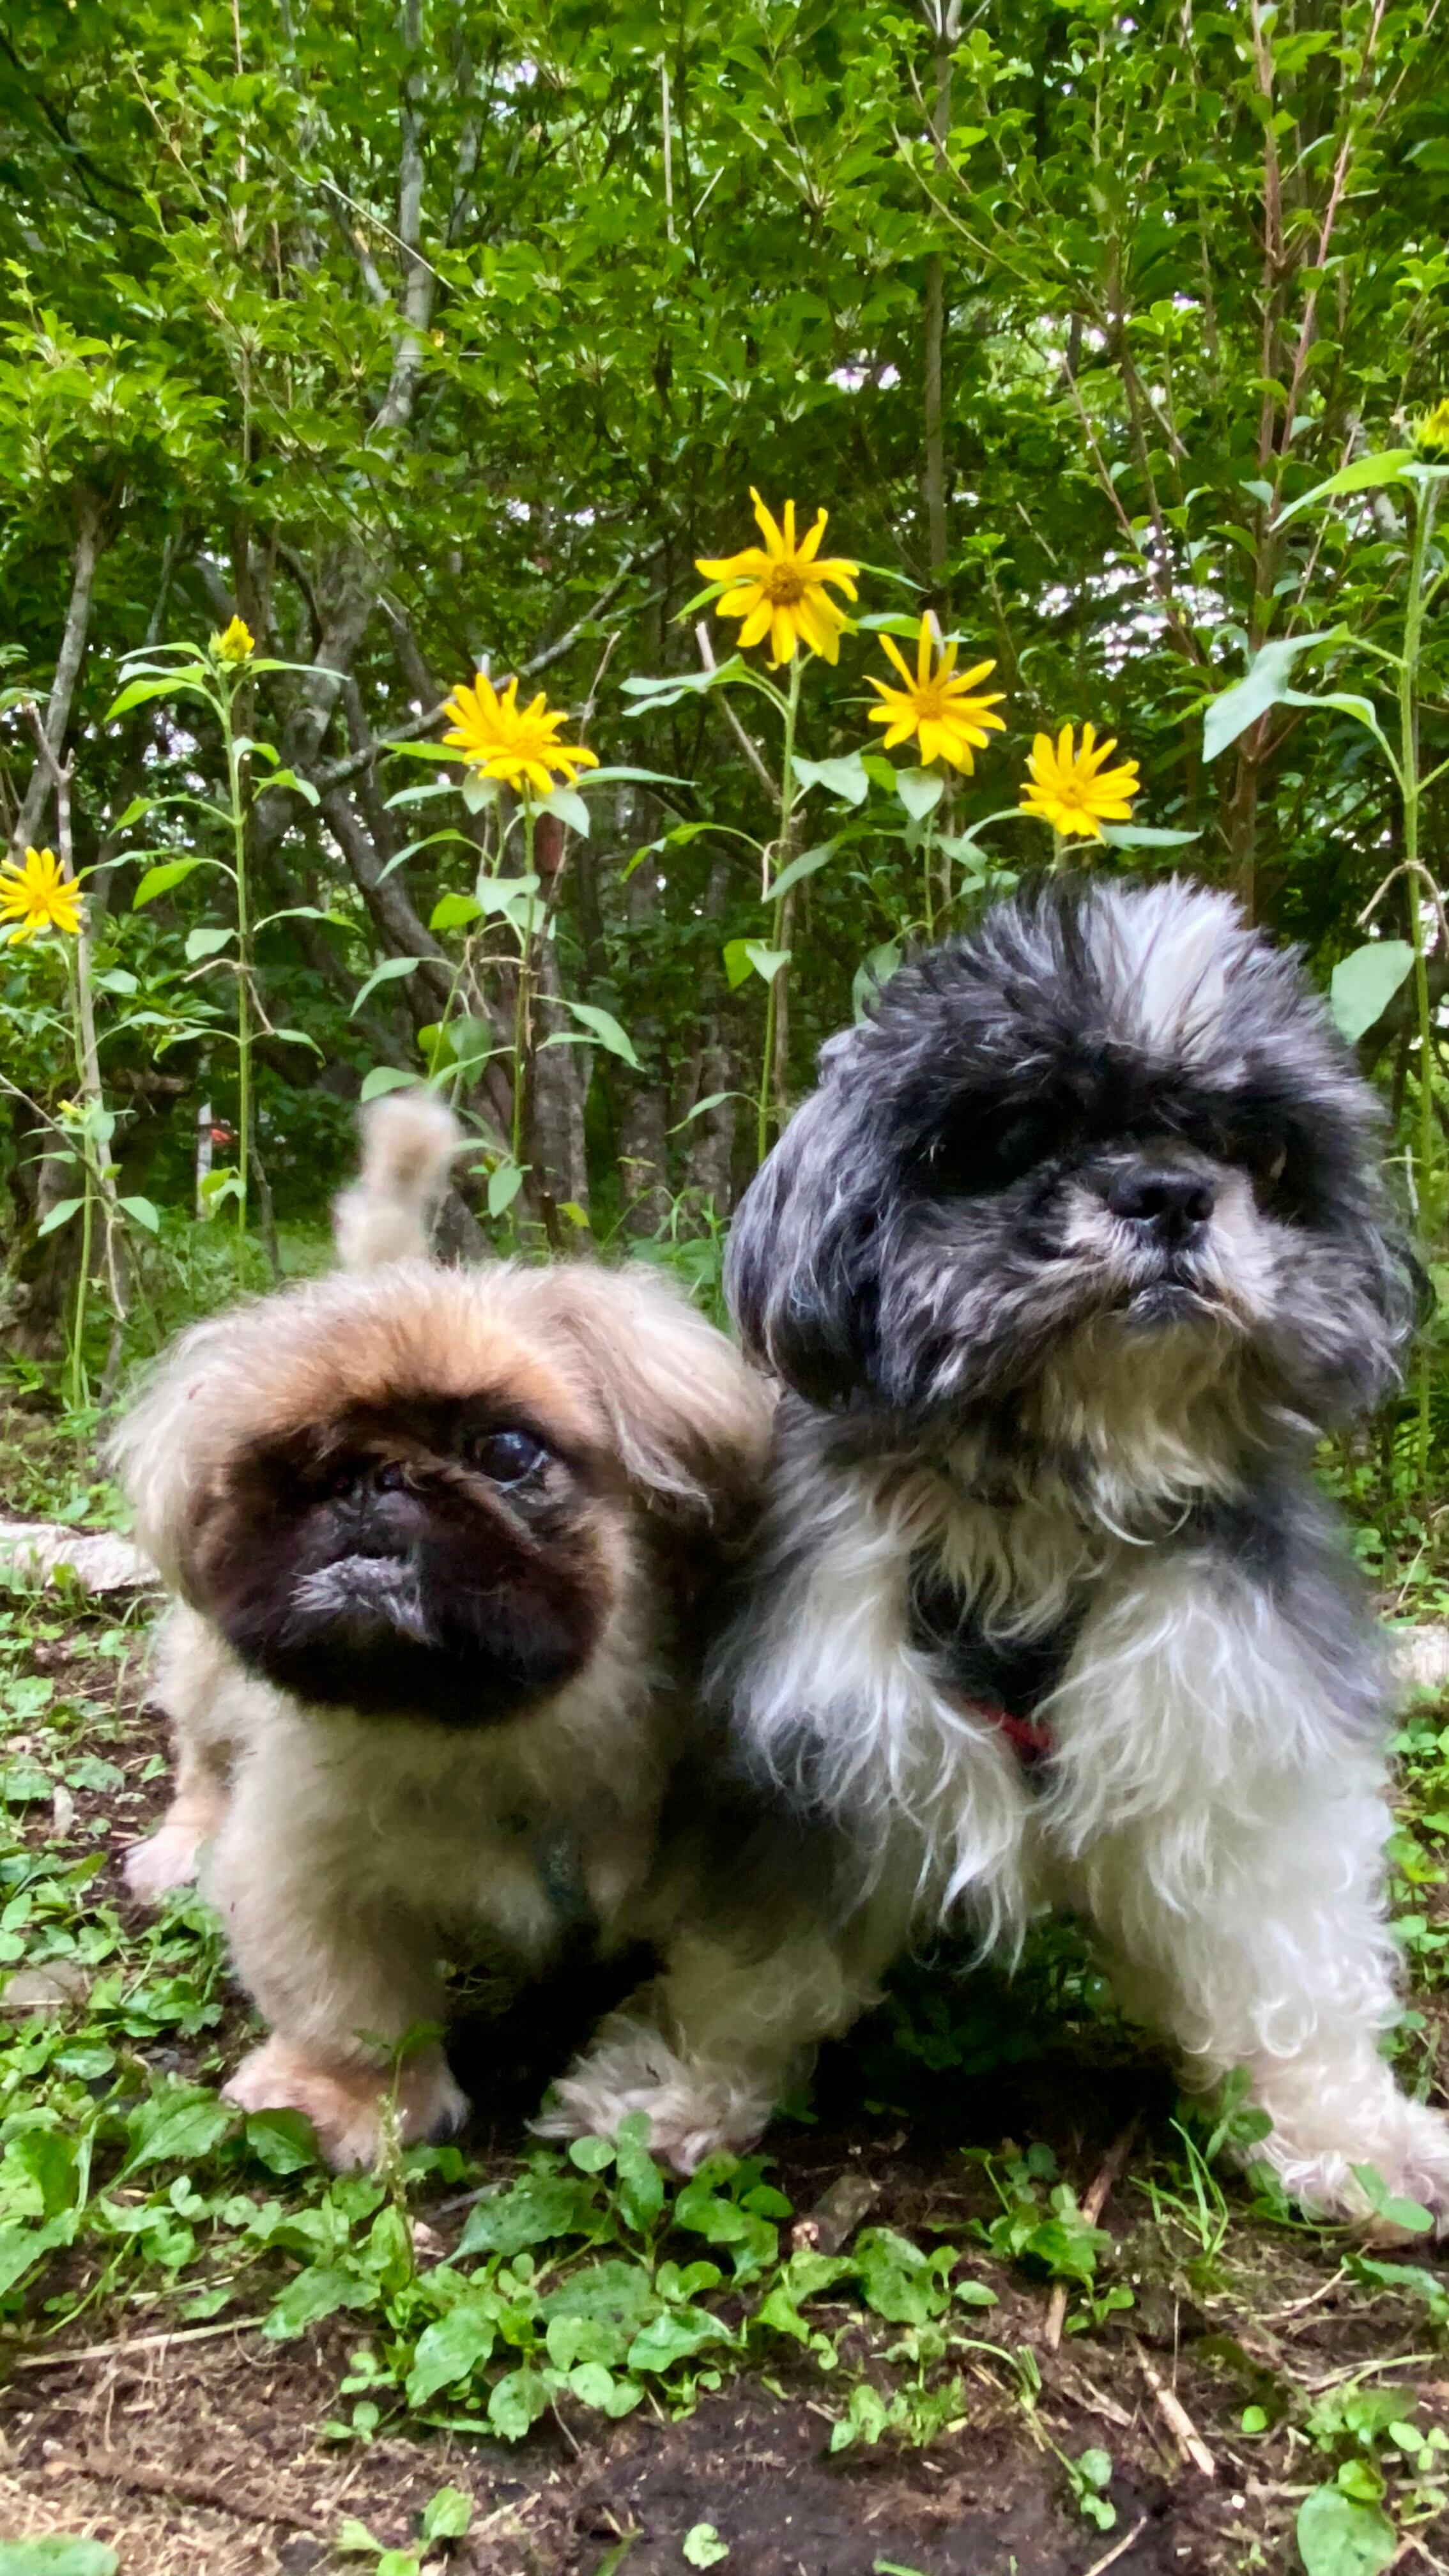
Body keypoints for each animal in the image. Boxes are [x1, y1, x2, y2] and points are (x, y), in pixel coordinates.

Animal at [113, 1094, 789, 2170]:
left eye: (506, 1451)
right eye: (286, 1465)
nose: (367, 1480)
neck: (501, 1744)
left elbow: (725, 2001)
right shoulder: (299, 1862)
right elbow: (347, 2007)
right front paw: (343, 2100)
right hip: (212, 1673)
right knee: (205, 1755)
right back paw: (184, 1847)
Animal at [688, 874, 1449, 2226]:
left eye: (1257, 1150)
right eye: (1017, 1133)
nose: (1168, 1192)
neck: (1054, 1496)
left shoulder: (1239, 1715)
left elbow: (1285, 1958)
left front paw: (1346, 2133)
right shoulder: (810, 1731)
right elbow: (751, 1960)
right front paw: (658, 2091)